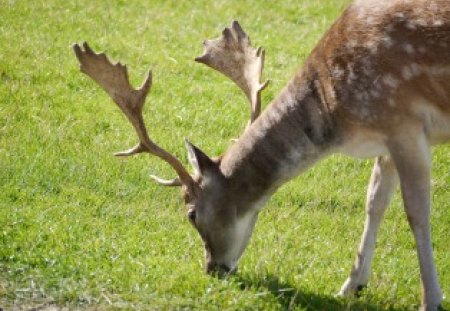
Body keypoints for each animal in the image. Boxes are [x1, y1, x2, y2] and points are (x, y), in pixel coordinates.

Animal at [72, 0, 448, 310]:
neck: (340, 115)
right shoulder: (385, 140)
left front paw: (431, 299)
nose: (212, 269)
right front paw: (351, 287)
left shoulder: (403, 121)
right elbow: (374, 203)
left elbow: (416, 213)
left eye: (191, 214)